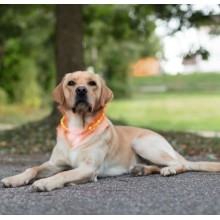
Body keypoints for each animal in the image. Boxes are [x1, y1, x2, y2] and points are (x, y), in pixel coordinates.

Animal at [1, 71, 220, 191]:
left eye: (92, 83)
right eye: (71, 83)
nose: (81, 90)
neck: (79, 127)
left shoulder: (89, 168)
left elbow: (63, 175)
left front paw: (46, 182)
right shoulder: (54, 163)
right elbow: (32, 168)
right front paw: (14, 179)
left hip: (142, 143)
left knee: (180, 164)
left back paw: (170, 169)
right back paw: (141, 169)